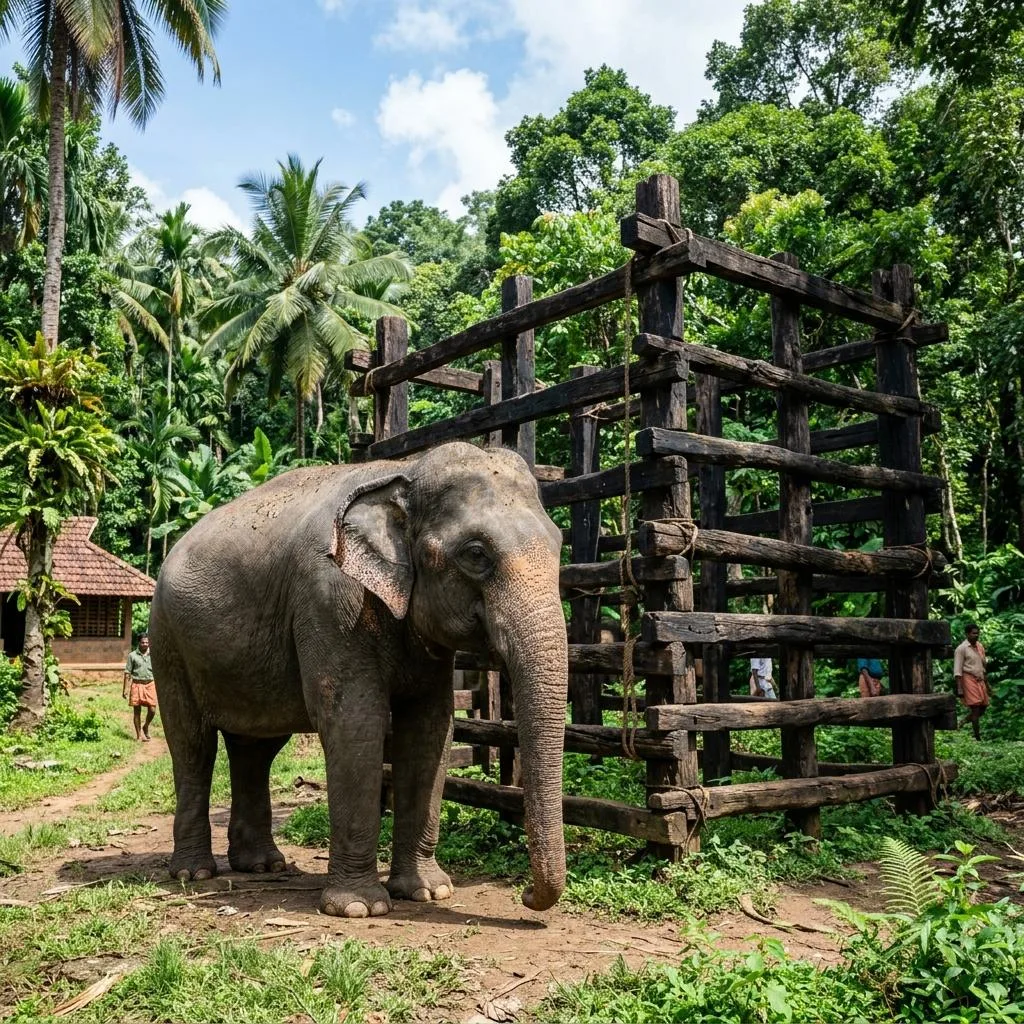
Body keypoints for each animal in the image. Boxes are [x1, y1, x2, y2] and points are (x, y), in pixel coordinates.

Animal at [149, 441, 568, 918]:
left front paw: (428, 892)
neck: (404, 471)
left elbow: (430, 728)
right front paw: (359, 908)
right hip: (167, 641)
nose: (527, 896)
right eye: (476, 553)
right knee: (192, 744)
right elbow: (355, 722)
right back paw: (193, 873)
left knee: (255, 748)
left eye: (559, 543)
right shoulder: (330, 600)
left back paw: (262, 866)